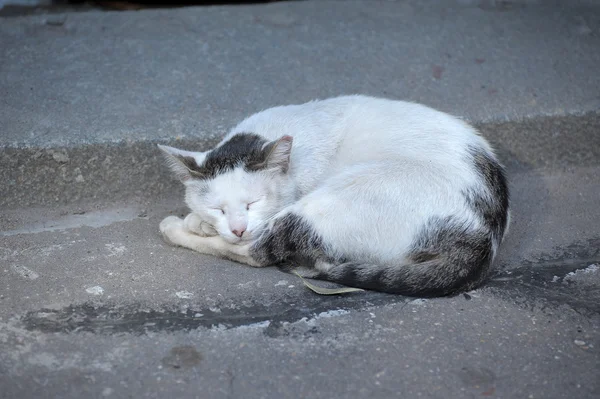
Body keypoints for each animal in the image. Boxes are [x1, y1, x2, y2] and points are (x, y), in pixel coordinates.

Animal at [157, 95, 508, 296]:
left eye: (253, 203)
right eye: (218, 208)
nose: (238, 228)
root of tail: (482, 237)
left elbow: (247, 242)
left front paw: (192, 225)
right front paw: (201, 221)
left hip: (335, 199)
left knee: (259, 252)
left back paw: (173, 228)